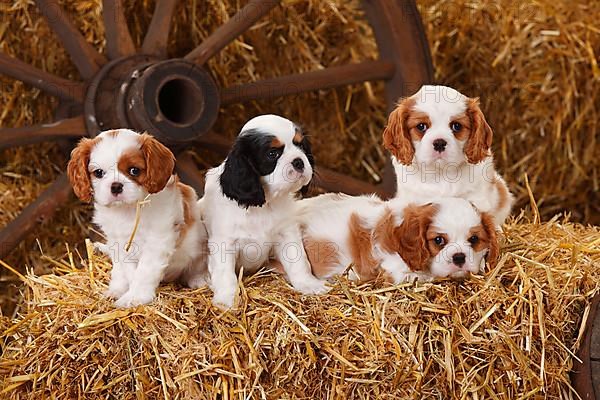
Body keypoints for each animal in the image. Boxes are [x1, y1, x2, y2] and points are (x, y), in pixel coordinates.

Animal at [67, 130, 209, 308]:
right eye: (99, 173)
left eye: (134, 170)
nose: (116, 186)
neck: (128, 210)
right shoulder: (119, 243)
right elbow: (128, 271)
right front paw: (124, 292)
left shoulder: (157, 241)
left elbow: (144, 272)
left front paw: (135, 297)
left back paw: (199, 280)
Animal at [203, 114, 328, 308]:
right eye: (272, 154)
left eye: (300, 145)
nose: (299, 161)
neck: (265, 204)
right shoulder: (224, 242)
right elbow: (225, 274)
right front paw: (227, 300)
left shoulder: (287, 234)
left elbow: (298, 261)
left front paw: (309, 285)